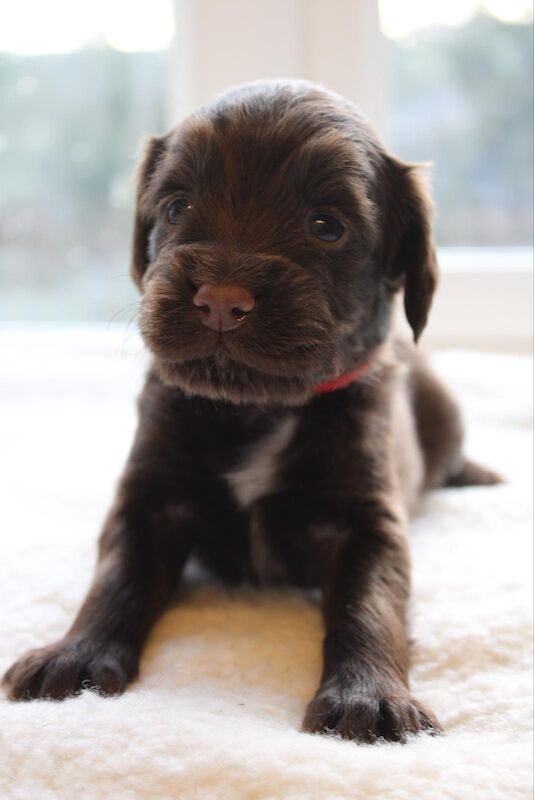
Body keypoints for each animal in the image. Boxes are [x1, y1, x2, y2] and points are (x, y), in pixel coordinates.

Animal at [2, 81, 502, 744]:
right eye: (177, 208)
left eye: (327, 226)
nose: (220, 301)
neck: (256, 408)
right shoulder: (148, 498)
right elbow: (117, 575)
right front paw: (75, 656)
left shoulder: (369, 518)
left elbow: (369, 602)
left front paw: (369, 698)